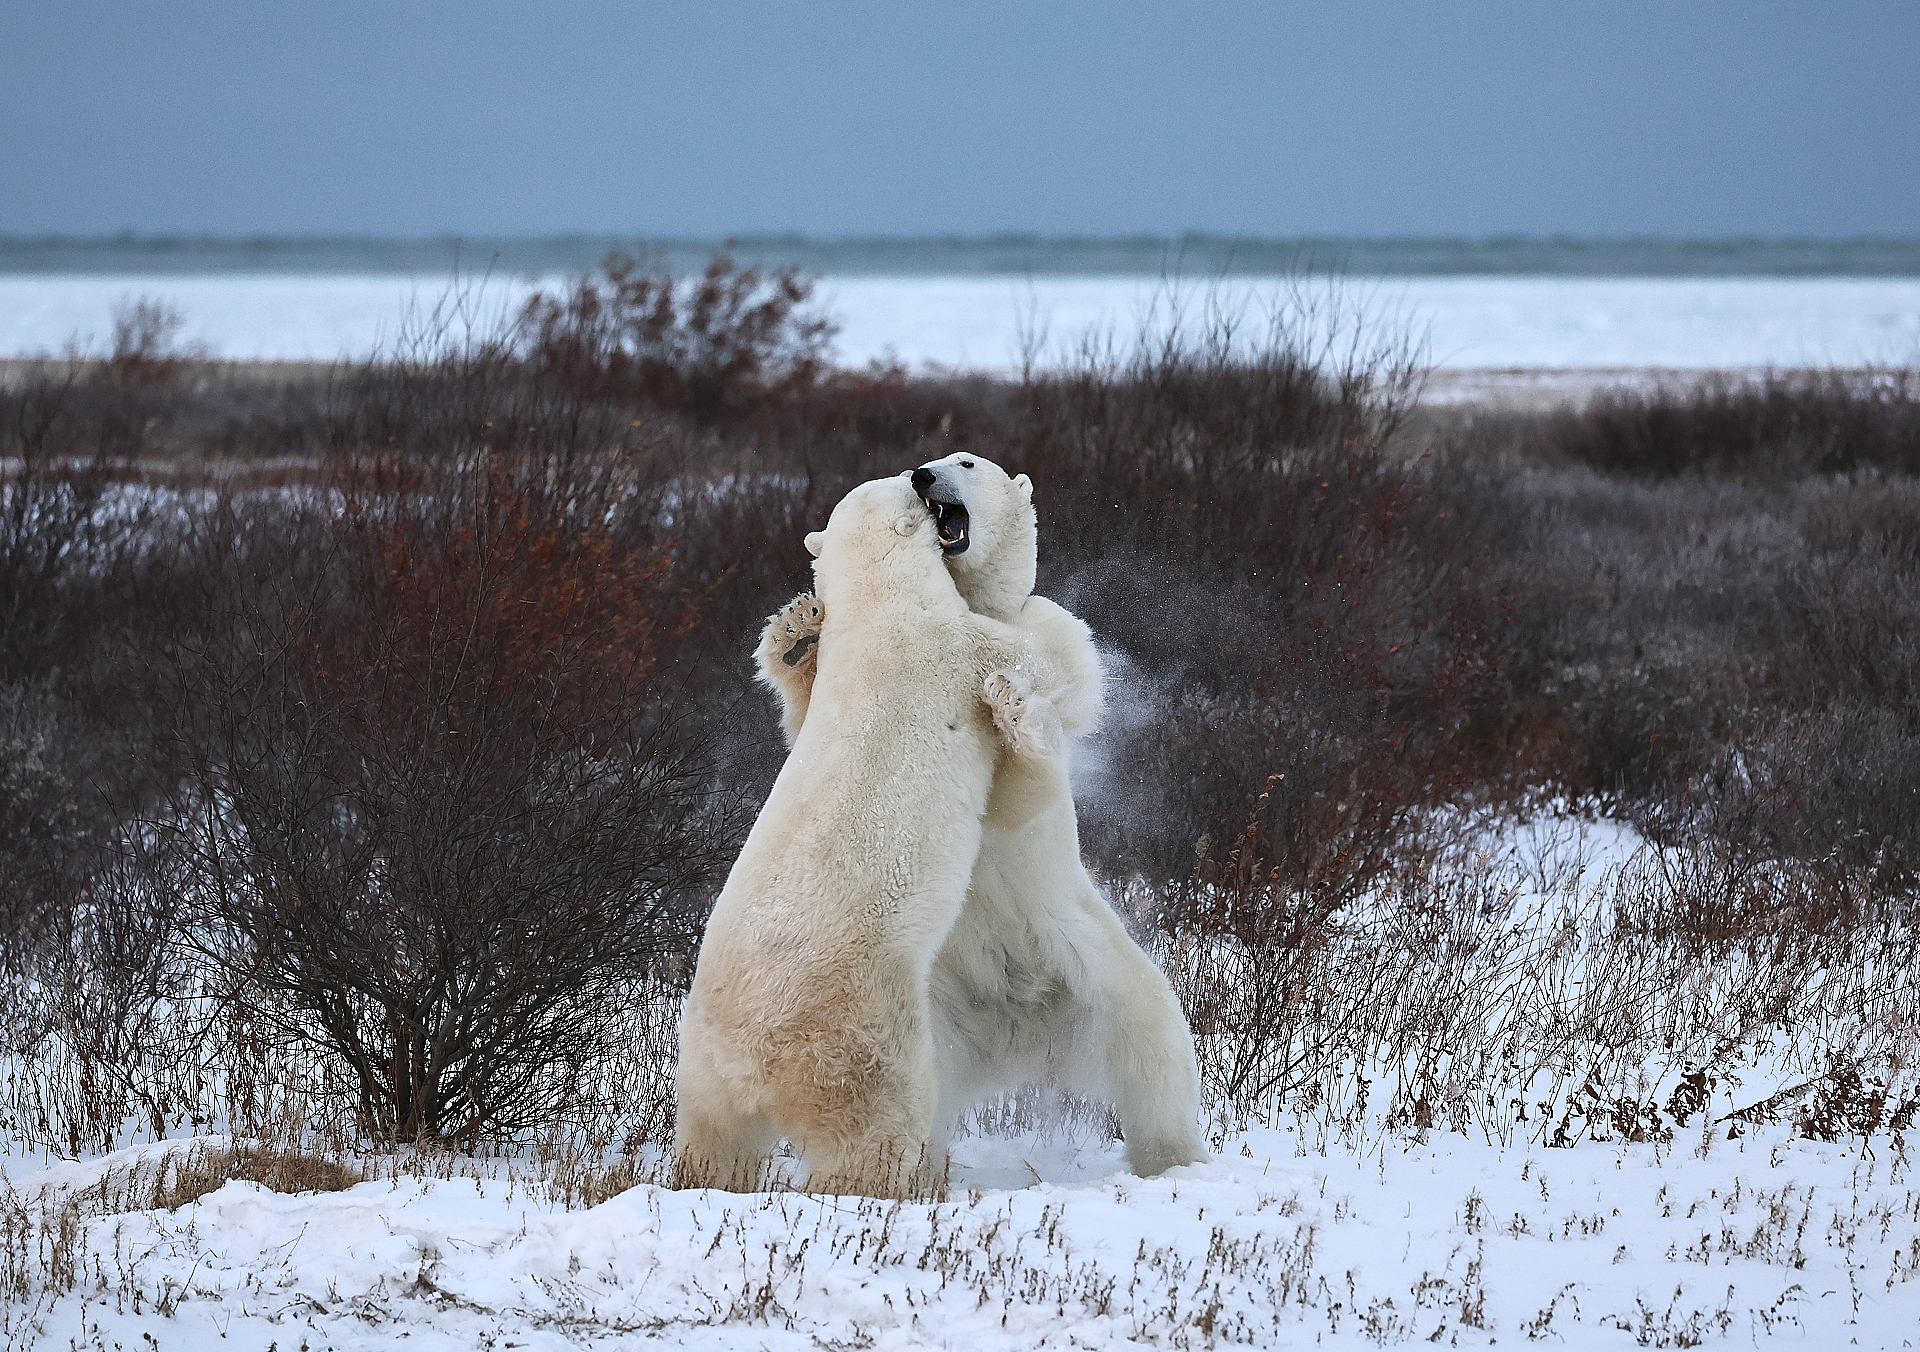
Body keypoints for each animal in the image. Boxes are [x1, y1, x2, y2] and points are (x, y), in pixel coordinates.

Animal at [672, 472, 1067, 1190]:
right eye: (903, 484)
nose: (922, 474)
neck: (881, 601)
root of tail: (753, 1063)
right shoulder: (952, 648)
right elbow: (1021, 656)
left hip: (703, 1060)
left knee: (715, 1136)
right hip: (859, 1026)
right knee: (875, 1123)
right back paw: (892, 1184)